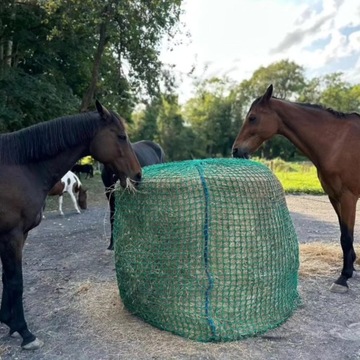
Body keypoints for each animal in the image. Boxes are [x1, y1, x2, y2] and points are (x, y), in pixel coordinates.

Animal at [0, 100, 142, 348]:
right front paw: (25, 332)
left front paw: (8, 322)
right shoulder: (12, 235)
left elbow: (7, 281)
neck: (21, 168)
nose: (138, 174)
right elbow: (15, 281)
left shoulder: (13, 237)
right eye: (121, 136)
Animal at [233, 84, 360, 292]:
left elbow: (347, 237)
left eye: (252, 117)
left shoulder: (348, 197)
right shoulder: (334, 197)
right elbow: (343, 234)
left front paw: (343, 277)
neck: (337, 142)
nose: (235, 150)